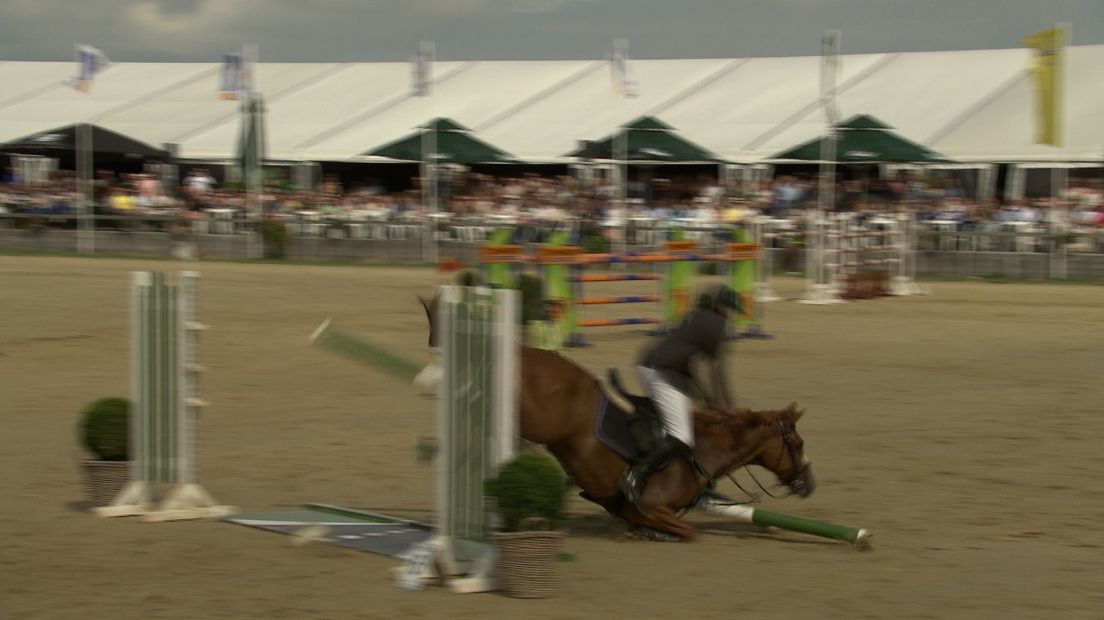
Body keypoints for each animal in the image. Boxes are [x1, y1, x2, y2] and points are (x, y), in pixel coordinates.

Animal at [417, 291, 816, 538]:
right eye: (797, 443)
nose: (809, 484)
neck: (706, 450)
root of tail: (525, 350)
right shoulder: (652, 508)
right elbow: (688, 532)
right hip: (538, 419)